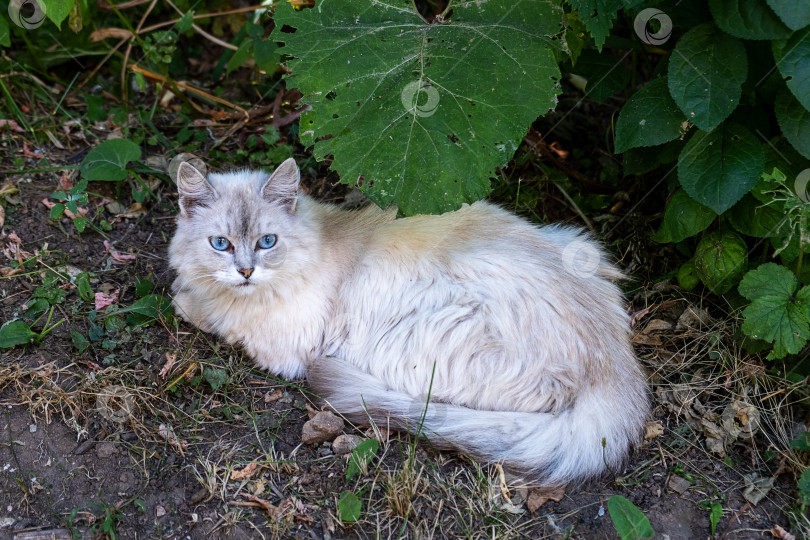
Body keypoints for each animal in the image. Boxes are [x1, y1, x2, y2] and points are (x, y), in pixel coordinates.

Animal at [167, 157, 648, 490]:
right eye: (221, 244)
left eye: (267, 242)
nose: (246, 272)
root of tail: (617, 367)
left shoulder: (282, 342)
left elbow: (213, 316)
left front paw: (185, 300)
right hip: (578, 244)